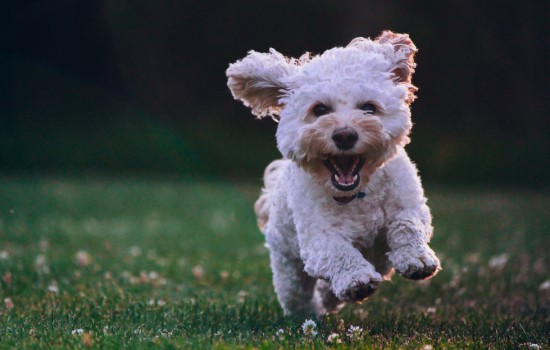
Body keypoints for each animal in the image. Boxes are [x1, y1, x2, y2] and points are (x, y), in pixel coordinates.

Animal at [226, 30, 442, 318]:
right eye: (320, 110)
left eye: (369, 108)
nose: (345, 135)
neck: (358, 194)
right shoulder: (318, 238)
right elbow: (338, 251)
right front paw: (356, 280)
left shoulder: (410, 204)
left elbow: (407, 224)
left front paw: (416, 258)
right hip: (287, 265)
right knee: (297, 293)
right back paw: (311, 312)